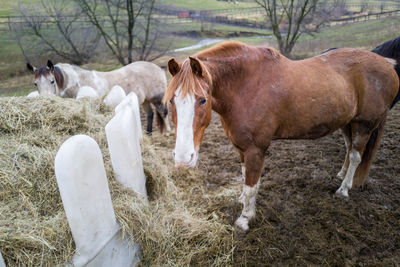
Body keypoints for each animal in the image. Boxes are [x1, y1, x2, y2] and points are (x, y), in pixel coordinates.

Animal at [26, 61, 170, 136]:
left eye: (52, 81)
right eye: (35, 84)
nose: (44, 100)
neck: (75, 82)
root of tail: (158, 68)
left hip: (157, 99)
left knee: (163, 113)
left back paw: (167, 132)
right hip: (145, 100)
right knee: (150, 114)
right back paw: (148, 133)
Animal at [163, 40, 400, 233]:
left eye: (202, 100)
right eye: (172, 100)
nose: (183, 159)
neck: (245, 86)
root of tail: (388, 64)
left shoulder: (255, 149)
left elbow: (252, 184)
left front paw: (245, 219)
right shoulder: (241, 147)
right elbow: (246, 177)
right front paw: (243, 201)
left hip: (364, 125)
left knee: (356, 156)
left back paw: (343, 189)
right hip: (348, 123)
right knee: (349, 149)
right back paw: (341, 175)